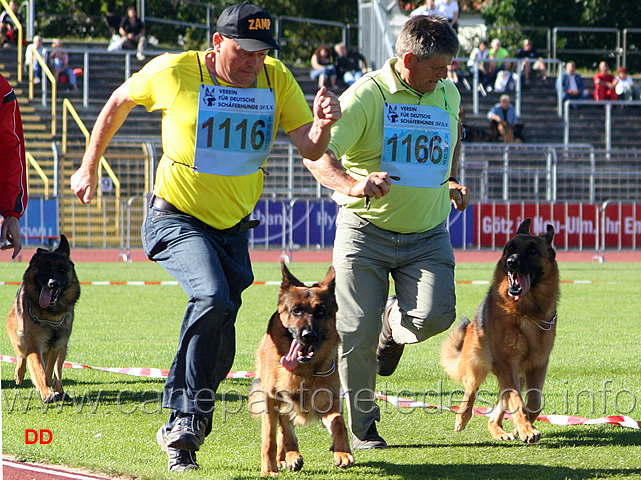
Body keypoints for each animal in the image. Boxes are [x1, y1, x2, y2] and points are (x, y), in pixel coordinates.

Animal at [6, 234, 80, 404]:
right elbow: (39, 368)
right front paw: (46, 393)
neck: (49, 315)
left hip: (62, 348)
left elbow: (48, 370)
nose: (54, 284)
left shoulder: (55, 346)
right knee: (21, 355)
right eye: (45, 268)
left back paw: (59, 390)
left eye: (62, 269)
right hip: (19, 339)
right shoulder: (34, 344)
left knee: (57, 371)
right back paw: (20, 373)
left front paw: (49, 389)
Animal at [249, 262, 356, 476]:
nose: (308, 335)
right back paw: (288, 456)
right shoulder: (271, 400)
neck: (303, 371)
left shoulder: (329, 402)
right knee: (283, 428)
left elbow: (339, 422)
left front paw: (342, 452)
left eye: (321, 312)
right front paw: (269, 468)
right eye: (296, 311)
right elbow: (270, 437)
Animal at [440, 219, 556, 444]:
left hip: (513, 376)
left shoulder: (538, 365)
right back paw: (462, 417)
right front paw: (526, 429)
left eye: (532, 250)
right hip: (478, 366)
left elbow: (533, 401)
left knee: (496, 411)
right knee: (470, 391)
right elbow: (518, 401)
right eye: (510, 248)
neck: (524, 311)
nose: (511, 262)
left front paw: (523, 426)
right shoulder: (507, 364)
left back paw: (500, 430)